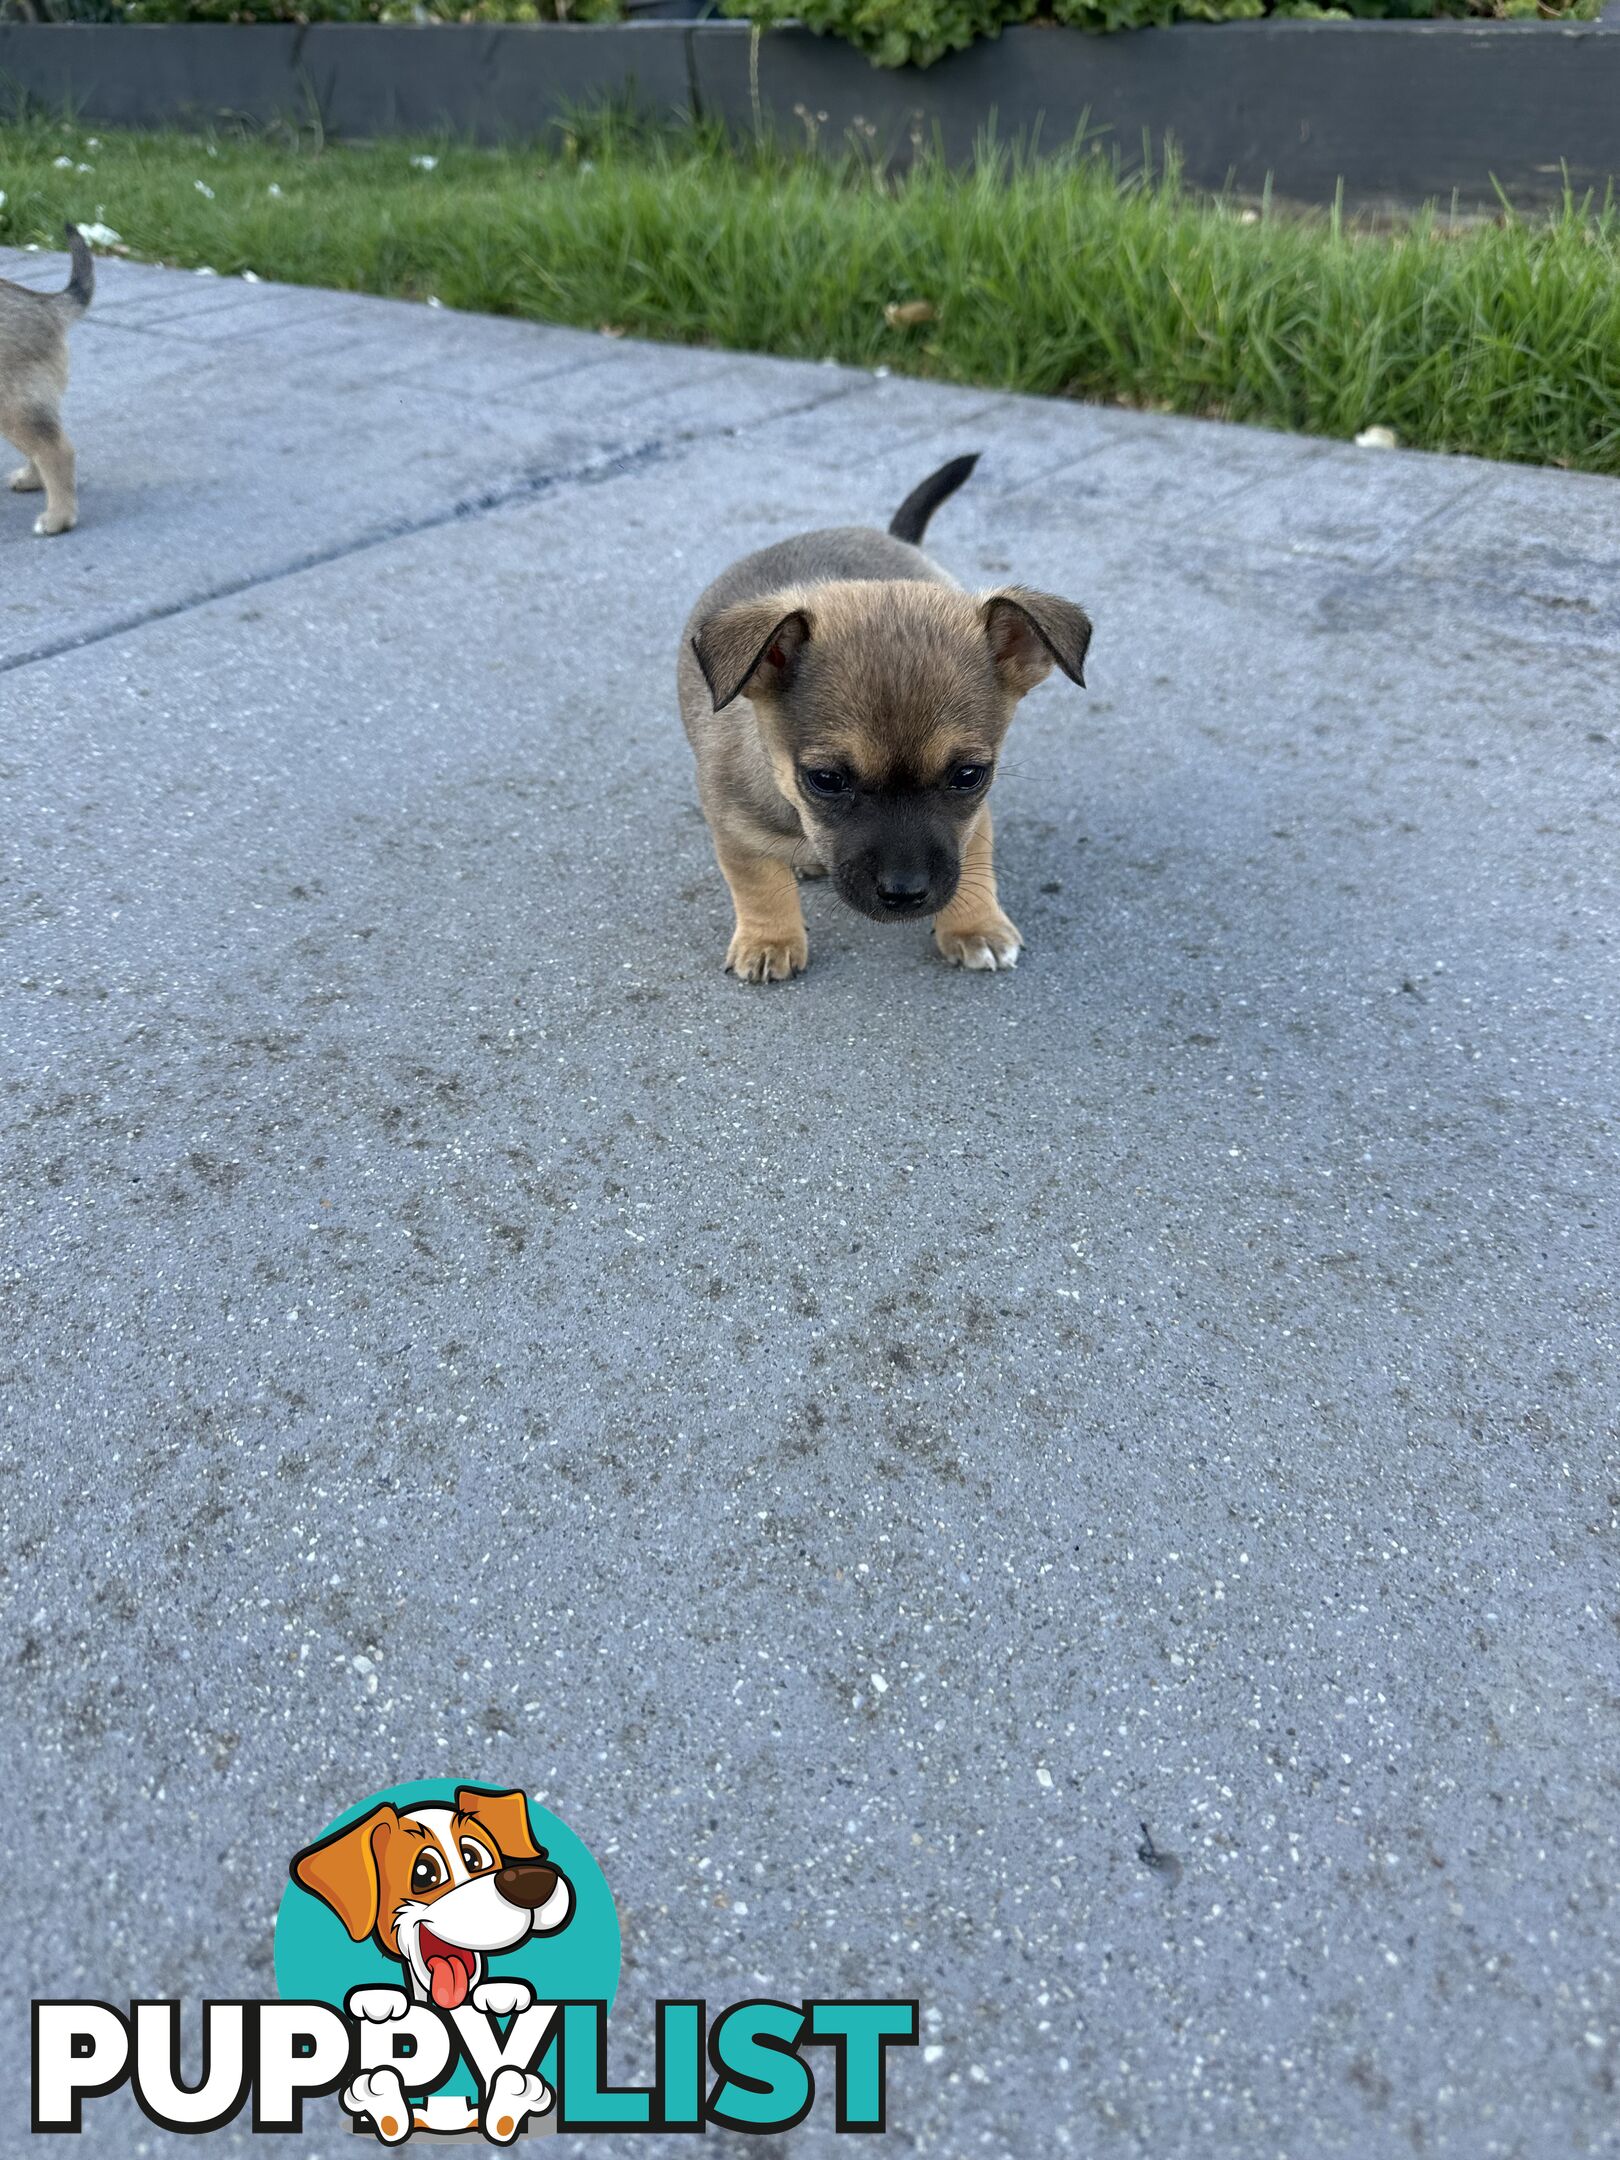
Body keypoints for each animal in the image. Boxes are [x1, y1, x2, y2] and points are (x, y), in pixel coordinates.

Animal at [678, 464, 1097, 989]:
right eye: (826, 780)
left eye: (968, 776)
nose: (904, 893)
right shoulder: (733, 829)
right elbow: (760, 885)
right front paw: (769, 940)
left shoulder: (973, 819)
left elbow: (975, 865)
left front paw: (976, 925)